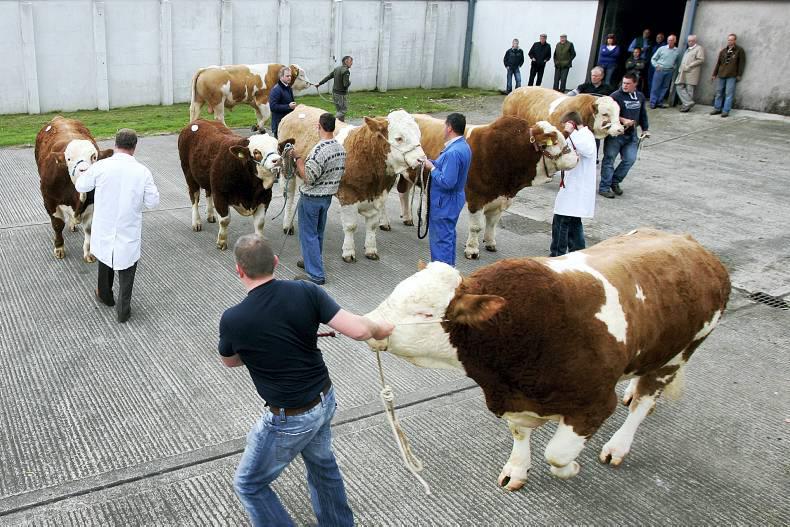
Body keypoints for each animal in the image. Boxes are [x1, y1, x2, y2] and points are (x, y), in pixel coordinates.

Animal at [34, 117, 113, 261]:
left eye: (94, 157)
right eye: (69, 159)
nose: (84, 170)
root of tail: (59, 118)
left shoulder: (93, 204)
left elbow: (89, 228)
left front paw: (89, 253)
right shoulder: (49, 200)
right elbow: (58, 224)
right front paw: (59, 248)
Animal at [177, 119, 284, 250]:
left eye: (278, 148)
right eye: (256, 152)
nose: (277, 160)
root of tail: (198, 121)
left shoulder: (265, 197)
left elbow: (260, 223)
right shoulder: (220, 194)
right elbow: (225, 220)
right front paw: (222, 241)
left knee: (208, 192)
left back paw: (210, 214)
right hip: (189, 174)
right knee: (194, 198)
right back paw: (196, 222)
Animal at [277, 104, 425, 262]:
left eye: (419, 135)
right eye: (399, 138)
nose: (422, 159)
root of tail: (300, 107)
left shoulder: (379, 196)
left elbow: (372, 225)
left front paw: (371, 249)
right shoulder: (348, 196)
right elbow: (350, 226)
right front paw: (348, 252)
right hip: (288, 172)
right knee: (289, 198)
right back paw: (287, 225)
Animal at [365, 228, 730, 491]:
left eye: (424, 313)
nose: (369, 323)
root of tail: (691, 244)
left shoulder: (595, 404)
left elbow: (557, 453)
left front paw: (571, 467)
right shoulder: (514, 399)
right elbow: (519, 433)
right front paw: (516, 470)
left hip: (679, 353)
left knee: (643, 403)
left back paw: (618, 445)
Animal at [398, 114, 578, 259]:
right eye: (553, 143)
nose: (575, 158)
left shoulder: (499, 198)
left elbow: (492, 223)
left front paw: (491, 242)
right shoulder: (476, 197)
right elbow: (476, 227)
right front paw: (472, 250)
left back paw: (411, 218)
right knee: (402, 192)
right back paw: (404, 218)